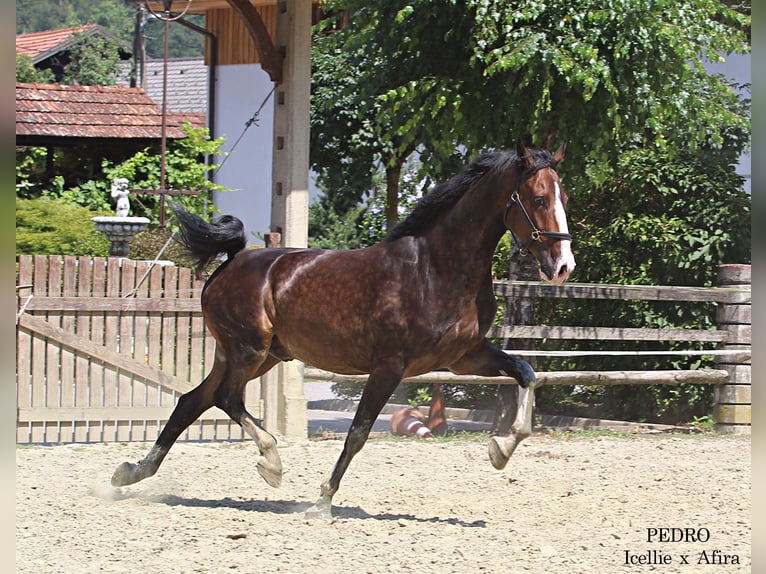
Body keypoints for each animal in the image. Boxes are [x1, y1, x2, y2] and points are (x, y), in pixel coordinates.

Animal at [111, 143, 572, 520]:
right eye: (538, 198)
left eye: (563, 197)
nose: (563, 267)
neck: (436, 268)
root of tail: (231, 262)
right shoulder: (391, 365)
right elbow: (358, 432)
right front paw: (321, 502)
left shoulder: (463, 357)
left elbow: (527, 374)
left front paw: (500, 452)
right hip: (247, 351)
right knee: (225, 398)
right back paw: (271, 463)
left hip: (256, 355)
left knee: (193, 401)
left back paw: (130, 473)